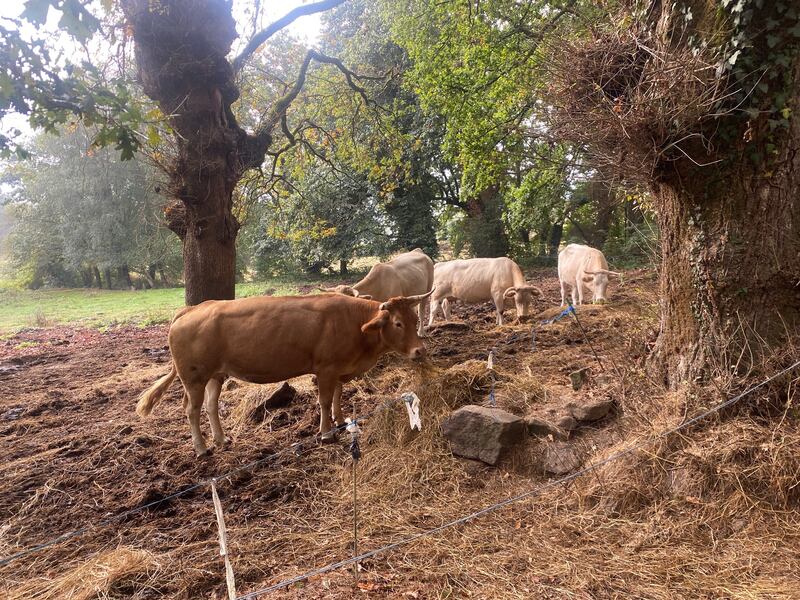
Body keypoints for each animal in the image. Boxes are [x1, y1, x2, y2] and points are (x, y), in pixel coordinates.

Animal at [136, 291, 433, 457]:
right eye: (397, 323)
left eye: (415, 319)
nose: (420, 350)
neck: (355, 324)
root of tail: (192, 308)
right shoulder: (325, 368)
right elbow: (325, 400)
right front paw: (326, 433)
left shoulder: (339, 369)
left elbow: (338, 396)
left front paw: (339, 421)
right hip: (194, 378)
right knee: (192, 410)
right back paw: (201, 449)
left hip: (215, 375)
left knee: (210, 406)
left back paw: (221, 439)